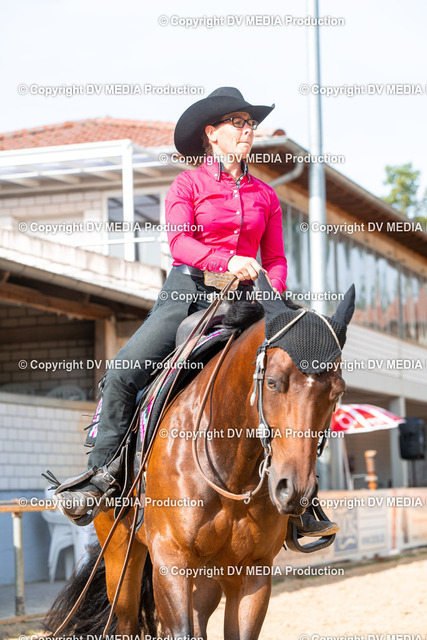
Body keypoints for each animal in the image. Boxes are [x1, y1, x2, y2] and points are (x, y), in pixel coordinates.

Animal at [45, 272, 355, 640]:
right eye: (274, 383)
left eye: (337, 391)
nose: (293, 491)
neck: (229, 467)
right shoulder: (171, 562)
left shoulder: (253, 572)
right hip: (122, 555)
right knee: (127, 619)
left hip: (205, 577)